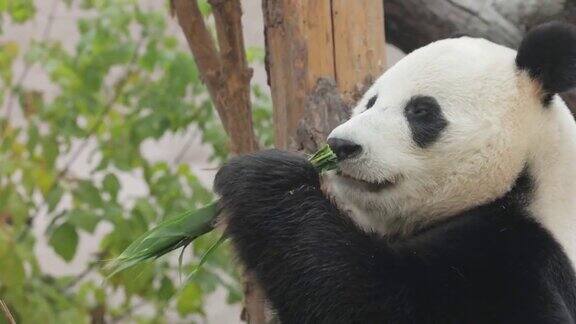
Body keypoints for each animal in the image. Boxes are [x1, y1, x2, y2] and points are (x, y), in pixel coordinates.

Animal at [214, 21, 576, 322]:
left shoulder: (517, 259)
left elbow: (363, 294)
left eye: (421, 111)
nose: (341, 145)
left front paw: (263, 178)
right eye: (371, 101)